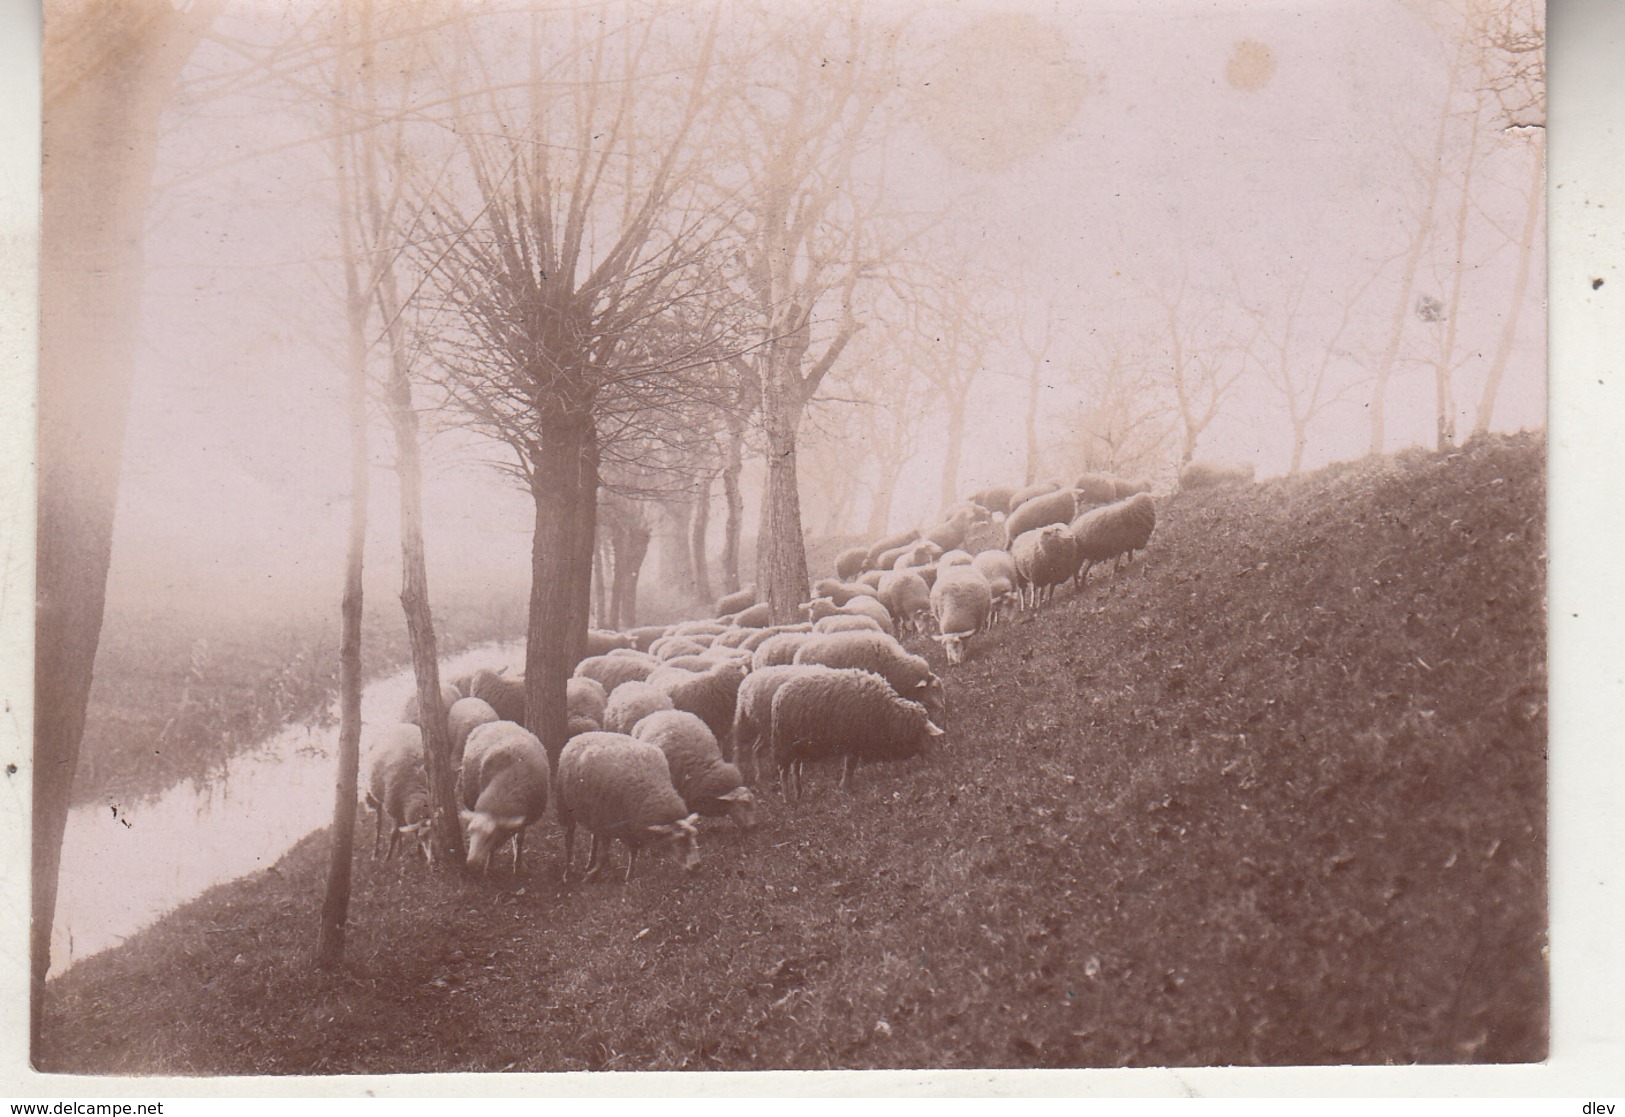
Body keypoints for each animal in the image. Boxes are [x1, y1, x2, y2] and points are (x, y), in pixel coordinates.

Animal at [559, 734, 698, 884]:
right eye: (679, 840)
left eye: (694, 835)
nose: (697, 866)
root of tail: (586, 734)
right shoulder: (608, 824)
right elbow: (605, 856)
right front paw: (591, 877)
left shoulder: (632, 827)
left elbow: (633, 851)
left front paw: (629, 877)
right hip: (568, 807)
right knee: (569, 840)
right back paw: (568, 872)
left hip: (594, 814)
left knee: (594, 837)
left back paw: (590, 863)